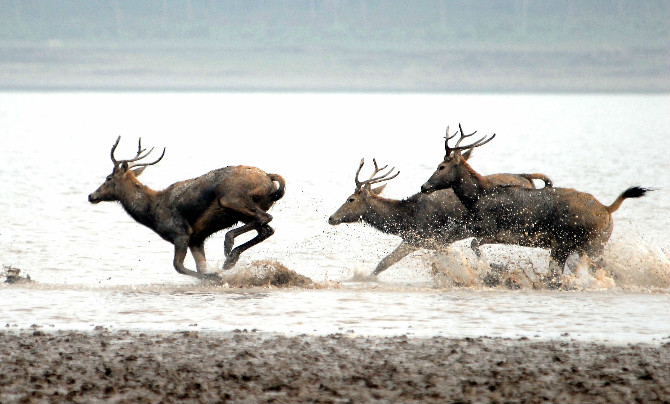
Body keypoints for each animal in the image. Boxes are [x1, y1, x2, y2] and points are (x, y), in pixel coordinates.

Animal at [88, 136, 285, 280]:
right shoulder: (196, 239)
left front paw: (215, 276)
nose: (91, 196)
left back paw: (228, 248)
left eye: (108, 178)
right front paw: (212, 275)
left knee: (264, 219)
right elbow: (200, 266)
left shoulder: (181, 233)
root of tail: (269, 177)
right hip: (245, 210)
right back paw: (231, 259)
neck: (151, 212)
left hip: (231, 199)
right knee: (267, 228)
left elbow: (179, 267)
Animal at [328, 152, 553, 276]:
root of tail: (528, 178)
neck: (406, 218)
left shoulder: (427, 239)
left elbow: (384, 263)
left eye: (350, 199)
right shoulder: (425, 241)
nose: (331, 218)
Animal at [420, 124, 651, 287]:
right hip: (584, 245)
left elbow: (474, 245)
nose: (424, 186)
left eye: (441, 166)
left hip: (576, 244)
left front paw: (490, 270)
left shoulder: (494, 229)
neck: (477, 198)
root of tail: (607, 209)